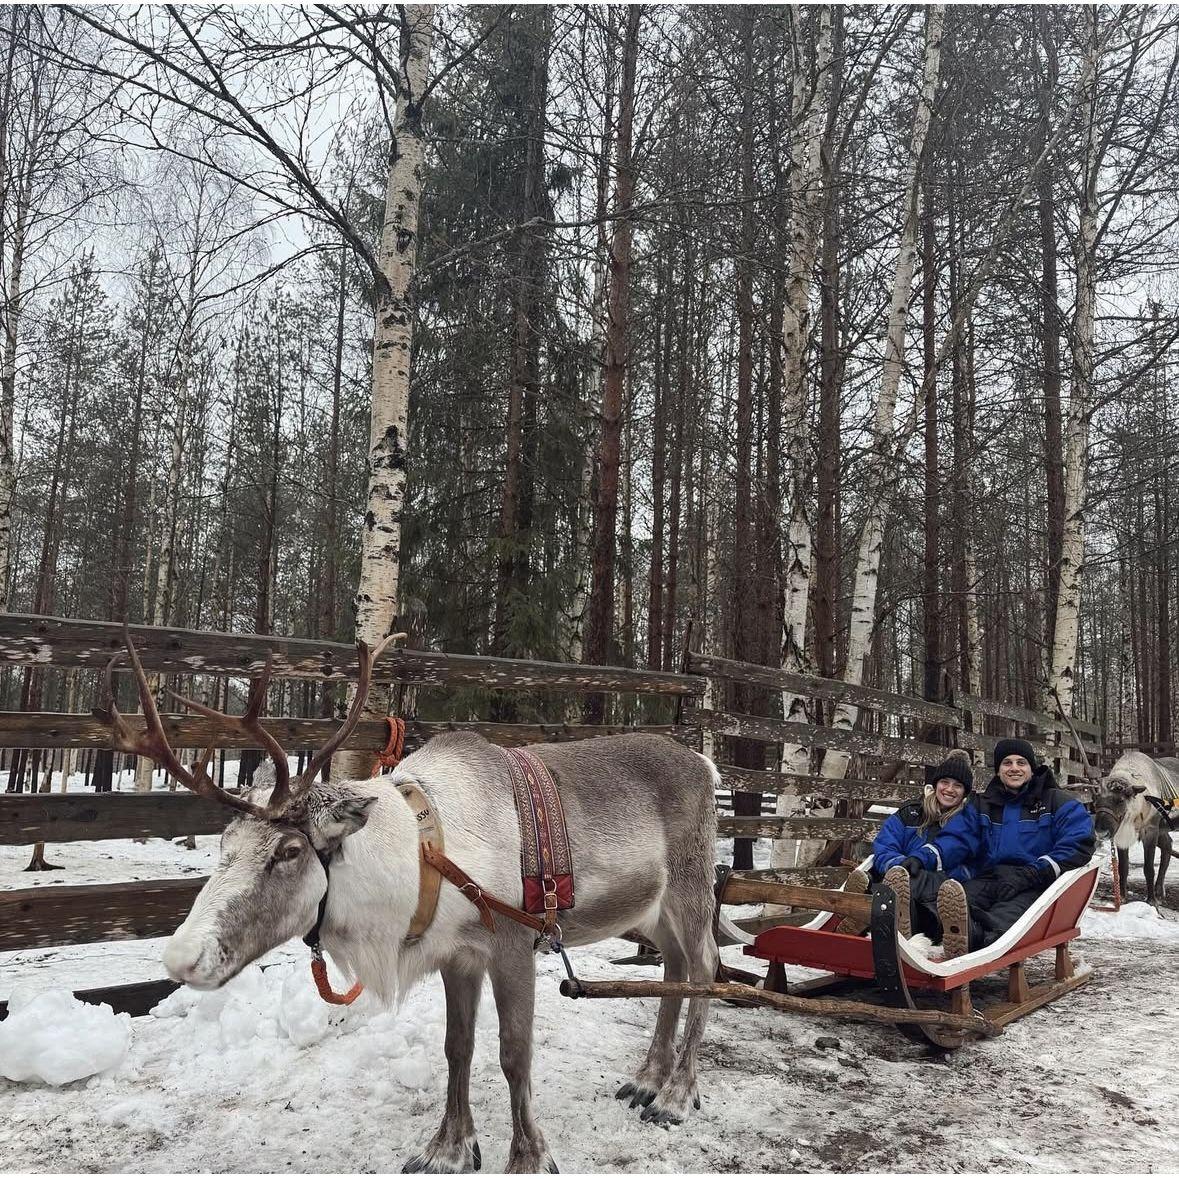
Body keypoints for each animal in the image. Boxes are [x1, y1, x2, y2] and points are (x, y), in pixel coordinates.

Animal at [96, 630, 719, 1174]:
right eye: (223, 844)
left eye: (289, 851)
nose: (181, 959)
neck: (422, 859)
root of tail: (706, 765)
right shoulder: (458, 957)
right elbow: (457, 1048)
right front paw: (448, 1148)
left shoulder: (513, 946)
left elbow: (514, 1054)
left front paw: (528, 1156)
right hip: (652, 911)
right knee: (675, 967)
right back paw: (647, 1079)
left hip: (690, 891)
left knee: (706, 968)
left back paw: (676, 1095)